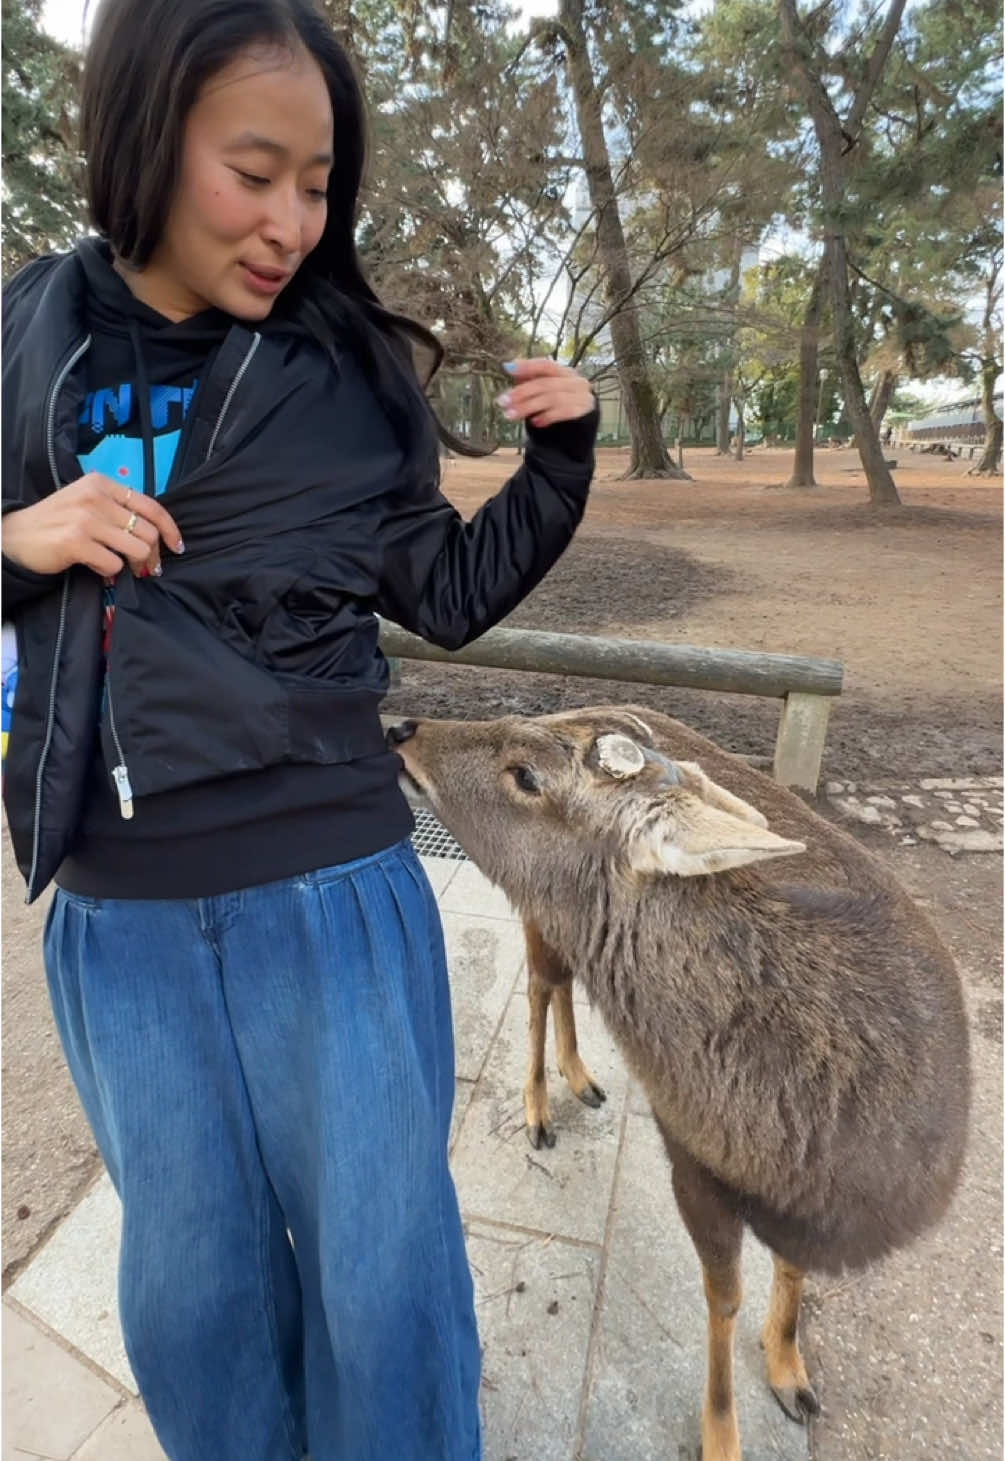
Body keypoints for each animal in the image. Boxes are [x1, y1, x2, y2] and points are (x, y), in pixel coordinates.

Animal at [388, 704, 969, 1461]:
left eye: (526, 774)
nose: (403, 728)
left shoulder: (802, 1218)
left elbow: (790, 1271)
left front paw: (791, 1373)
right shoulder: (693, 1161)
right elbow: (723, 1297)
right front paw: (721, 1436)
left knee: (559, 982)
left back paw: (582, 1077)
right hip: (540, 913)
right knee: (542, 983)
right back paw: (539, 1107)